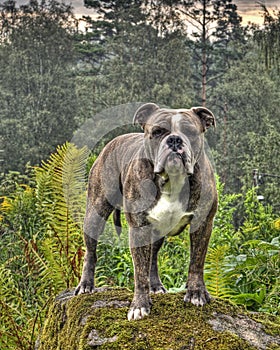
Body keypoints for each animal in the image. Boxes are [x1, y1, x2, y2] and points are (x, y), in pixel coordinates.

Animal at [75, 103, 218, 320]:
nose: (174, 140)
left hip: (157, 231)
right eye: (157, 132)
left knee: (153, 258)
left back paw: (156, 286)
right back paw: (85, 285)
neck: (172, 179)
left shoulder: (202, 224)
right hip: (95, 213)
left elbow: (196, 262)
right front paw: (139, 306)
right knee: (90, 253)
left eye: (190, 132)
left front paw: (196, 293)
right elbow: (139, 272)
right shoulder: (139, 228)